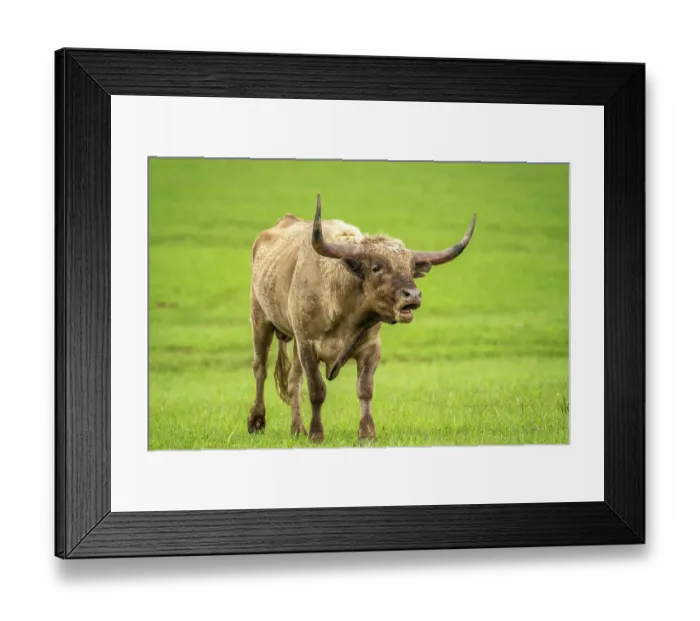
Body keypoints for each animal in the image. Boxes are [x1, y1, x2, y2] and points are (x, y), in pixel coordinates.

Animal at [247, 194, 477, 444]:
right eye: (376, 267)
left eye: (411, 268)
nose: (413, 295)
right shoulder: (308, 345)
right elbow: (317, 390)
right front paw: (317, 434)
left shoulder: (370, 348)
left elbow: (365, 389)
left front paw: (367, 433)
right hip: (260, 321)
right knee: (260, 369)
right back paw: (256, 421)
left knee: (292, 382)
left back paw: (297, 429)